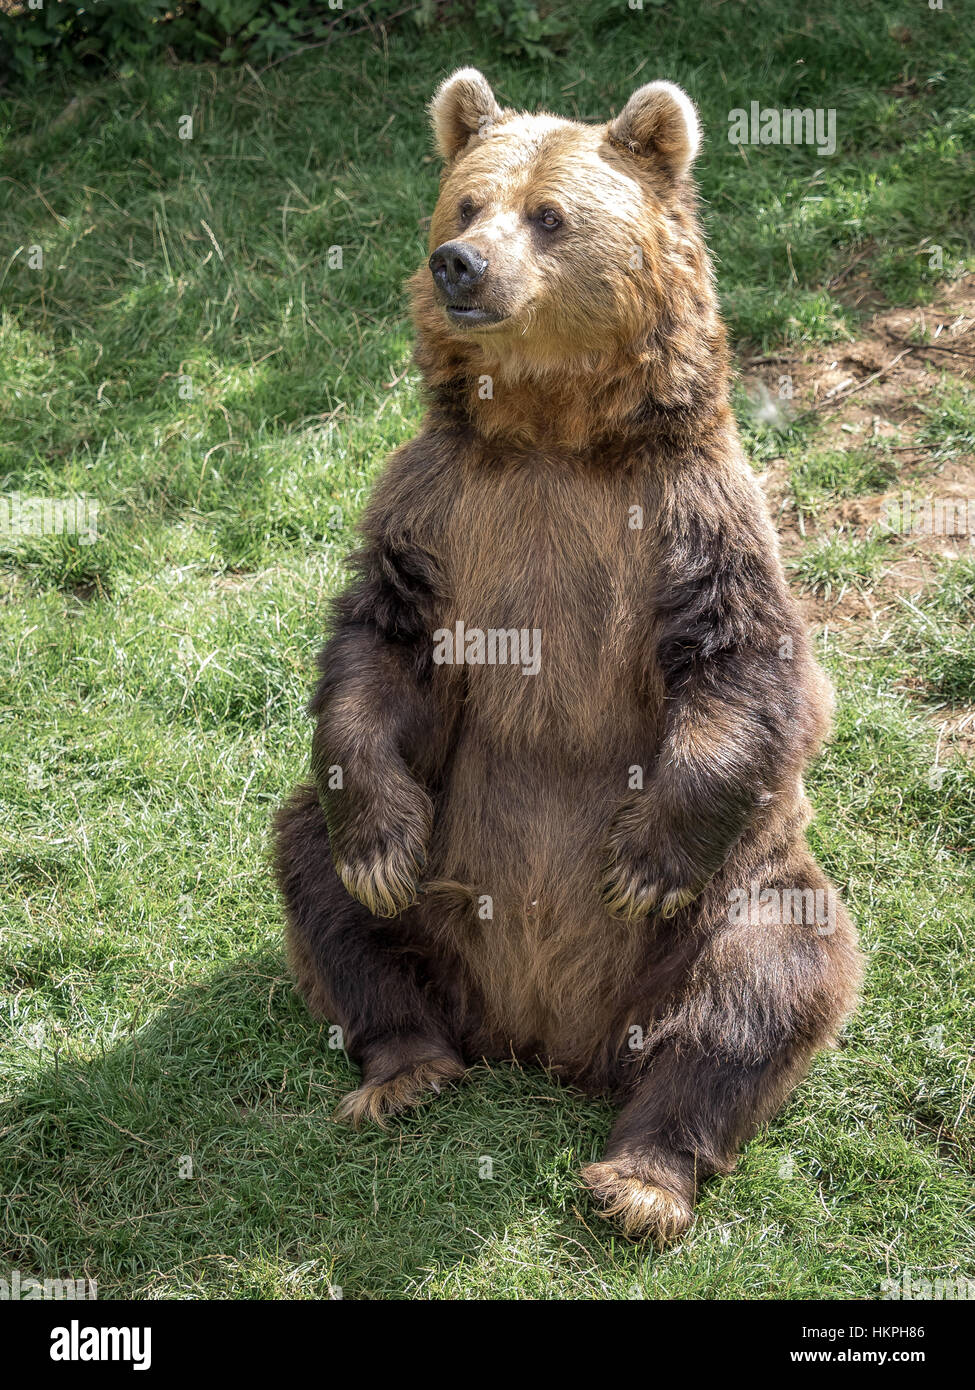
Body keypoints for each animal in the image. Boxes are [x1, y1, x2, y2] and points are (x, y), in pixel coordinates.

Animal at [275, 65, 856, 1245]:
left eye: (549, 216)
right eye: (464, 203)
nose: (460, 263)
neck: (551, 435)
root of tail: (545, 1036)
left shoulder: (688, 519)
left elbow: (740, 668)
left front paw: (641, 858)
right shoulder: (439, 510)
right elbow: (378, 648)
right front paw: (379, 845)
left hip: (732, 897)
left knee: (764, 978)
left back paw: (642, 1176)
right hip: (445, 903)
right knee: (318, 880)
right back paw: (405, 1066)